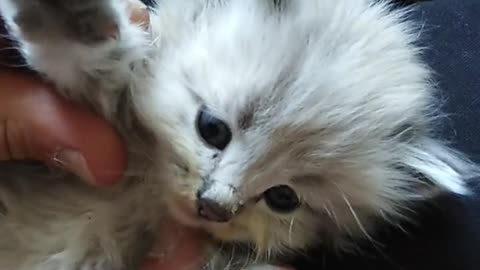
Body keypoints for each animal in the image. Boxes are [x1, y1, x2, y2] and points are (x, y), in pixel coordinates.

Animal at [0, 0, 476, 268]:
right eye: (212, 130)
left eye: (283, 198)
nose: (213, 206)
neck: (146, 192)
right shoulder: (101, 113)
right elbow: (93, 54)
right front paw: (72, 12)